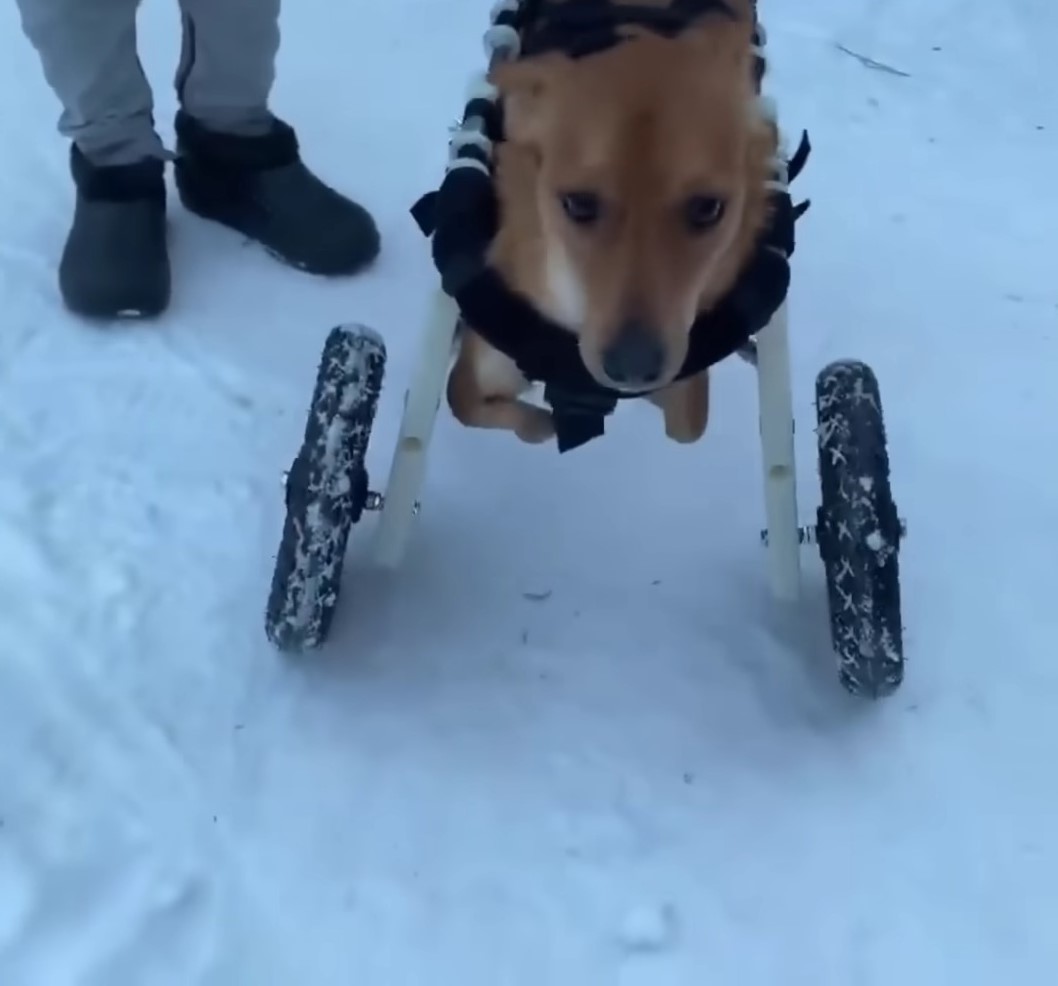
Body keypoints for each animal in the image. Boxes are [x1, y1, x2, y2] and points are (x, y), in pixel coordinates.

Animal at [446, 0, 778, 446]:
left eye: (708, 208)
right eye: (578, 204)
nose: (633, 368)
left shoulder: (687, 371)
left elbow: (688, 422)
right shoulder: (478, 372)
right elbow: (475, 407)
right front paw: (549, 424)